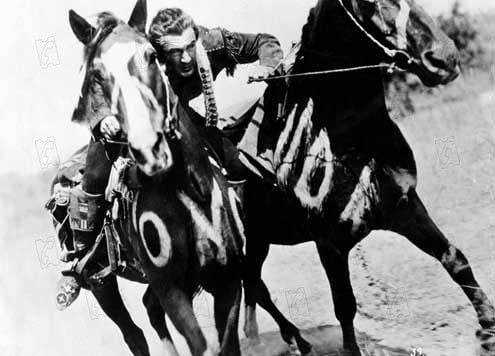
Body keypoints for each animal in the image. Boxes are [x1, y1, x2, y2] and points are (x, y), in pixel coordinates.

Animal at [52, 1, 246, 354]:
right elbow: (199, 344)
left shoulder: (227, 282)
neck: (192, 192)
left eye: (151, 56)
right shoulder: (172, 291)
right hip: (101, 285)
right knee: (133, 333)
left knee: (150, 310)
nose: (148, 147)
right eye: (96, 75)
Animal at [233, 0, 495, 356]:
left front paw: (488, 328)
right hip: (251, 242)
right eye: (366, 3)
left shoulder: (404, 206)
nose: (443, 57)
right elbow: (344, 306)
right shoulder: (329, 243)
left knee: (254, 284)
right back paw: (296, 339)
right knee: (255, 285)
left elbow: (454, 258)